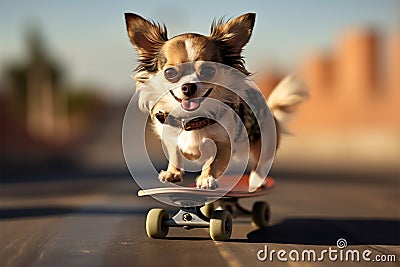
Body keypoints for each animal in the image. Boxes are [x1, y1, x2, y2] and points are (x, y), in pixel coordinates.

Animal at [124, 12, 306, 192]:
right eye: (169, 73)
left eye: (208, 71)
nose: (188, 86)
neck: (192, 120)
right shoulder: (169, 135)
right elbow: (175, 153)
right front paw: (173, 173)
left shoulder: (225, 144)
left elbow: (213, 162)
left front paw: (206, 179)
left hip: (262, 142)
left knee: (260, 163)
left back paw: (256, 180)